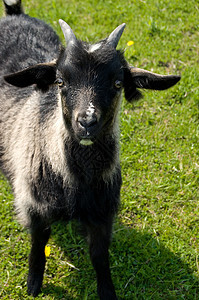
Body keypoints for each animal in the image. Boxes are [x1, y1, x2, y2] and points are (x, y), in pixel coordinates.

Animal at [0, 1, 180, 298]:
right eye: (60, 82)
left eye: (117, 83)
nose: (86, 122)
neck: (76, 181)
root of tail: (15, 14)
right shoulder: (35, 205)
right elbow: (38, 244)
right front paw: (33, 285)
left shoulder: (102, 213)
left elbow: (99, 255)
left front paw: (107, 290)